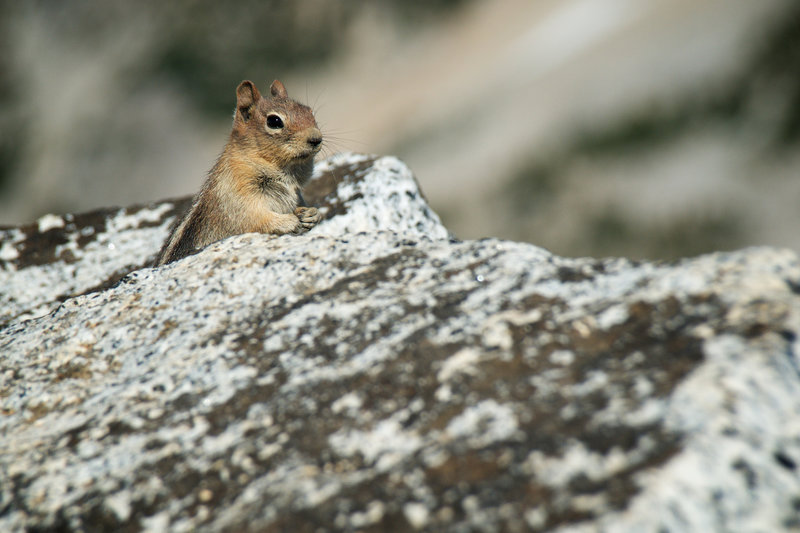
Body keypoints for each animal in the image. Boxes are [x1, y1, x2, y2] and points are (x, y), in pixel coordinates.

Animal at [154, 79, 322, 266]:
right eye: (274, 121)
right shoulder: (238, 198)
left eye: (309, 111)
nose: (316, 139)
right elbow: (257, 219)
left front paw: (311, 214)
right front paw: (290, 221)